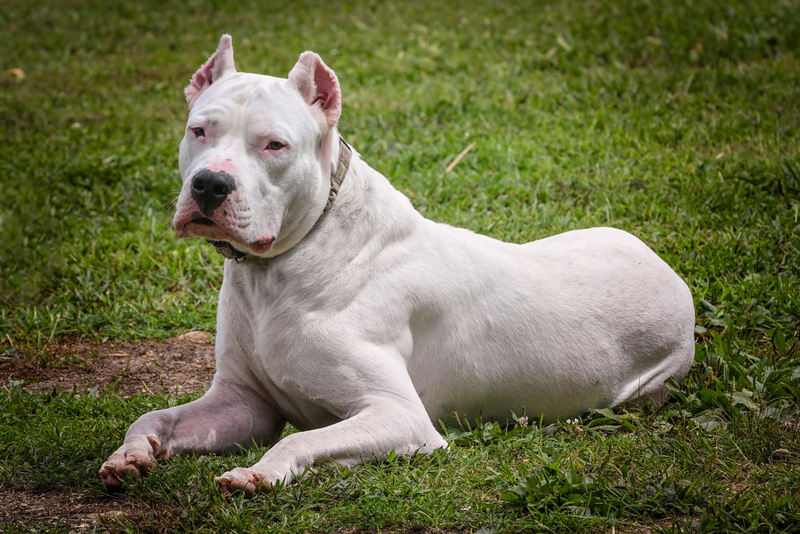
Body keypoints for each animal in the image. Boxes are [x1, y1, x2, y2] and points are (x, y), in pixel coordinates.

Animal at [100, 36, 696, 498]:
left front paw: (259, 473)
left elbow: (300, 437)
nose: (209, 185)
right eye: (199, 130)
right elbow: (155, 416)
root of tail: (669, 273)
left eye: (274, 145)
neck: (285, 263)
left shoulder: (401, 417)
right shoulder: (242, 403)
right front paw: (131, 454)